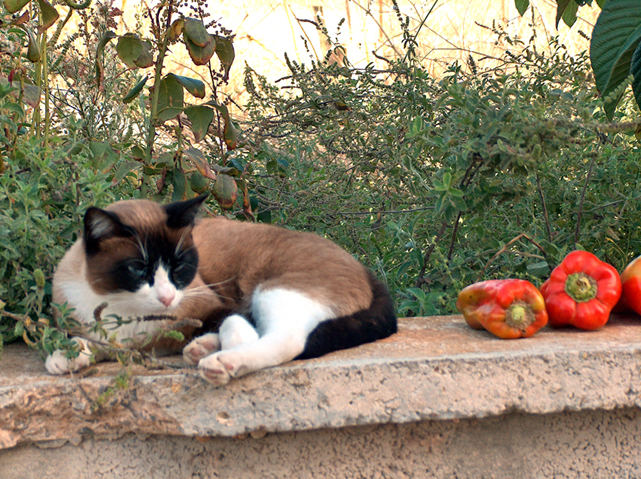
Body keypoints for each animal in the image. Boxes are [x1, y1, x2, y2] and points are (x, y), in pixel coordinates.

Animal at [46, 195, 396, 386]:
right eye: (137, 269)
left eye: (180, 266)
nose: (167, 298)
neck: (127, 311)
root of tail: (368, 271)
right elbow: (89, 342)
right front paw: (66, 357)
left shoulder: (219, 304)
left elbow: (232, 322)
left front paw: (224, 348)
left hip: (272, 289)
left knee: (287, 340)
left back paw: (221, 361)